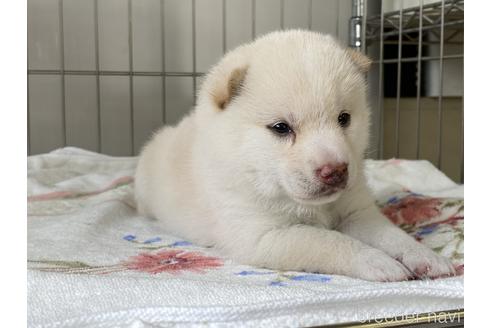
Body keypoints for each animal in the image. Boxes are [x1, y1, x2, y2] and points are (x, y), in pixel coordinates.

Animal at [134, 31, 454, 282]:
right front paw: (377, 261)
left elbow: (390, 233)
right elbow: (328, 240)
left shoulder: (357, 212)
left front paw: (425, 255)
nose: (336, 170)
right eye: (281, 128)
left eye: (344, 118)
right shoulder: (263, 235)